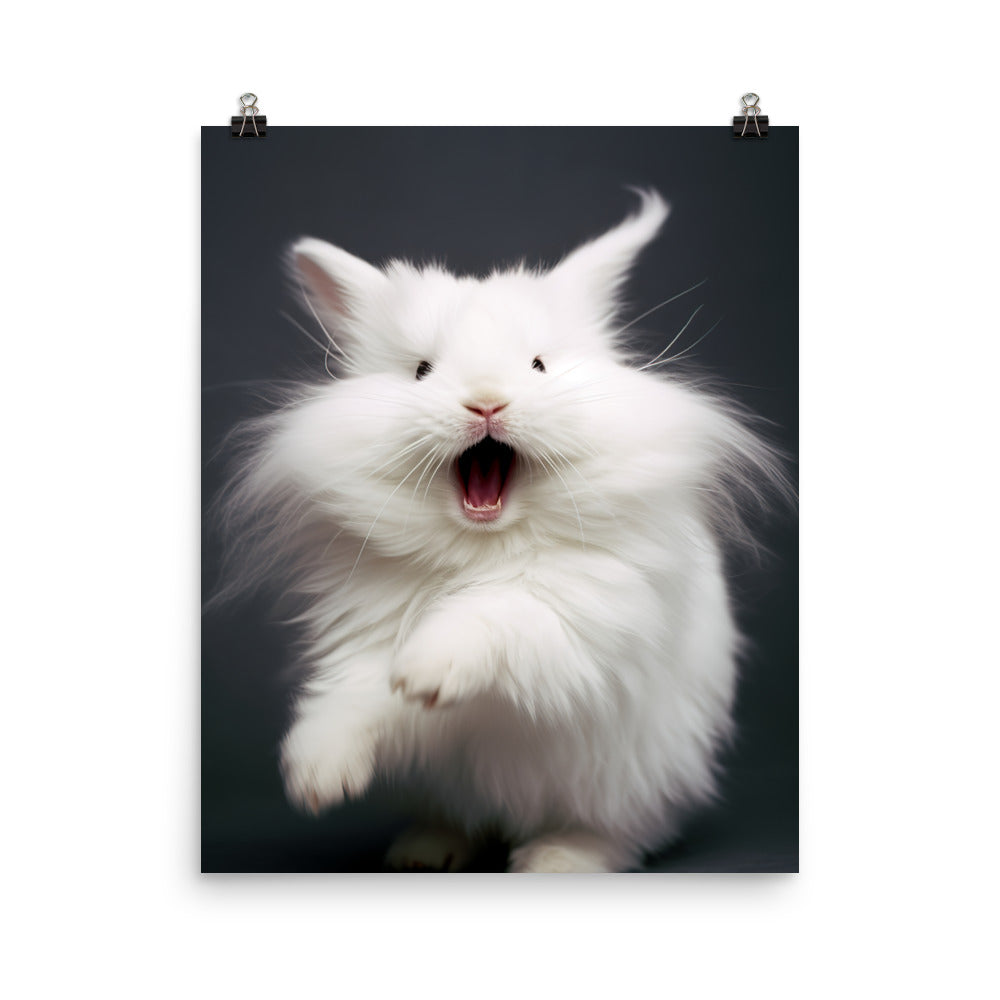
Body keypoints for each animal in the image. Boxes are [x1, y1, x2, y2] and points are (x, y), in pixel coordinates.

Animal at [215, 190, 790, 873]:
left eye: (539, 365)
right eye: (421, 370)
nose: (486, 402)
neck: (484, 545)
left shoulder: (581, 620)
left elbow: (498, 613)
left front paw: (424, 672)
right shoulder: (363, 635)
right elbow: (353, 695)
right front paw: (316, 777)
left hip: (629, 783)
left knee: (616, 832)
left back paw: (556, 859)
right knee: (463, 817)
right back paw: (424, 851)